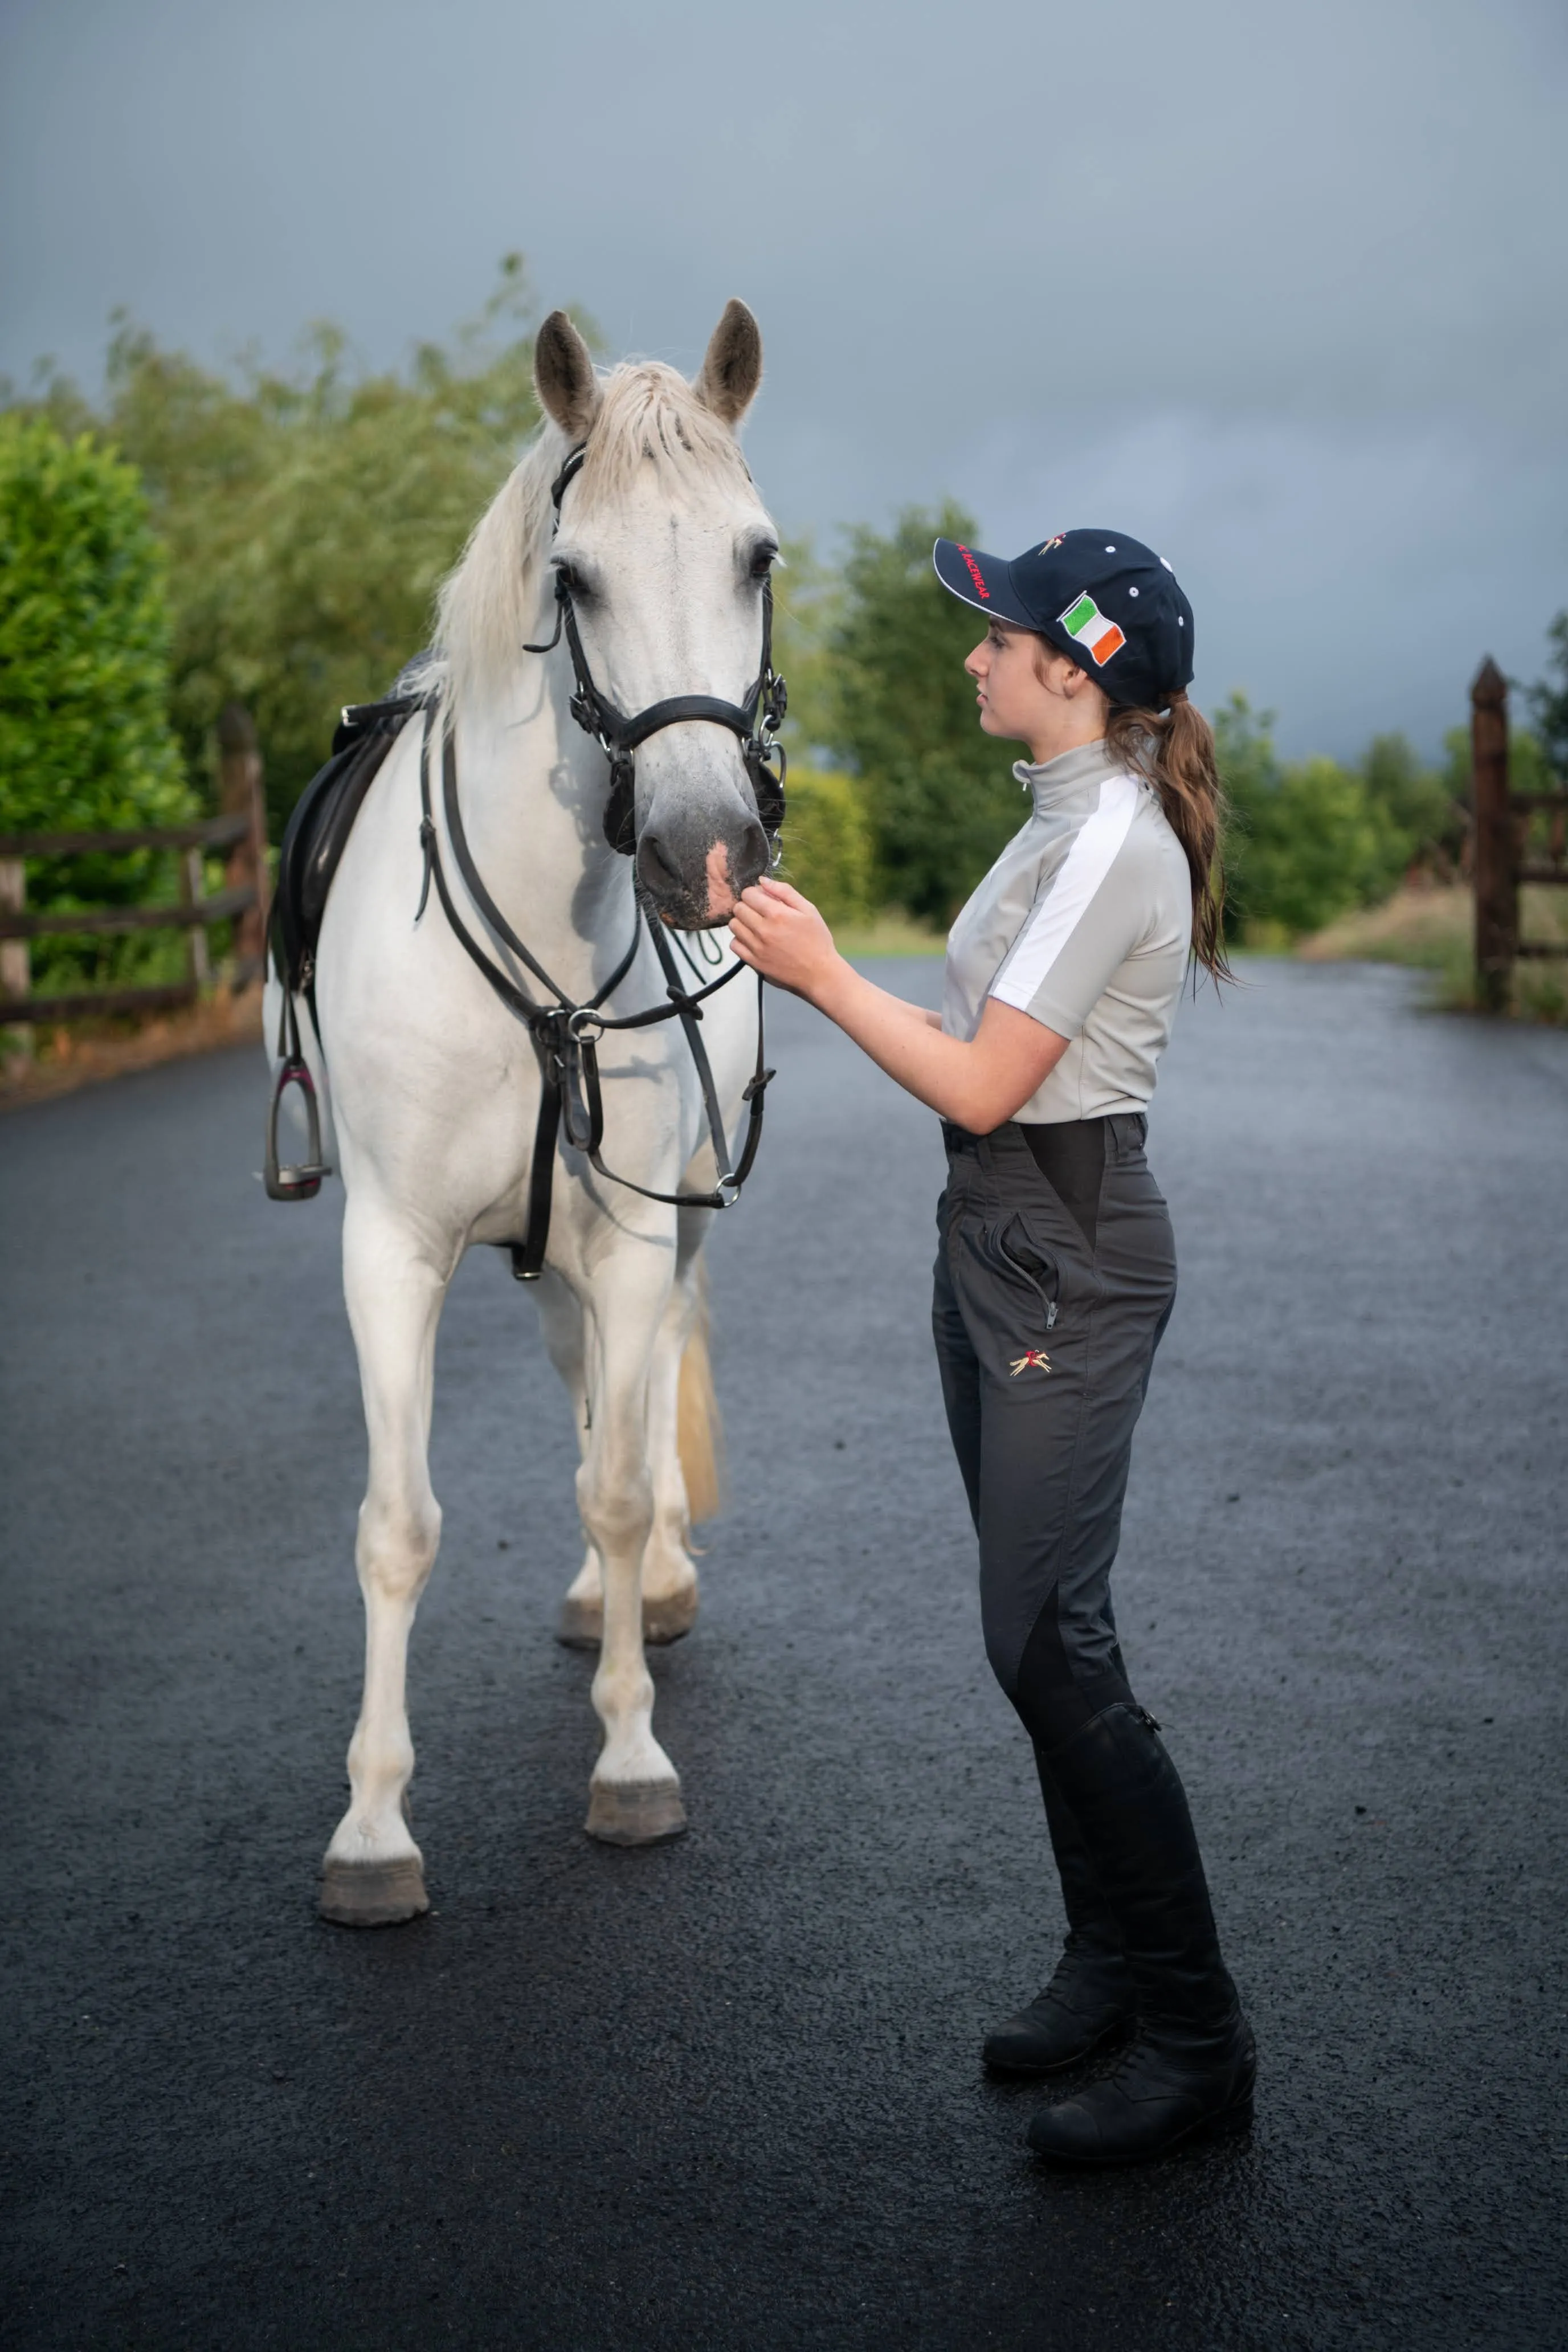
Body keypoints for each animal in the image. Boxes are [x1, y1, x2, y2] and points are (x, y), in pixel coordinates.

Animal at [270, 308, 785, 1928]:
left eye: (757, 556)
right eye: (575, 577)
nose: (703, 852)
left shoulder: (630, 1237)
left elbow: (619, 1486)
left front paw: (629, 1758)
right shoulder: (390, 1255)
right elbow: (397, 1525)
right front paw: (372, 1829)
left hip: (663, 1230)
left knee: (640, 1394)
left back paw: (650, 1588)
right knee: (577, 1389)